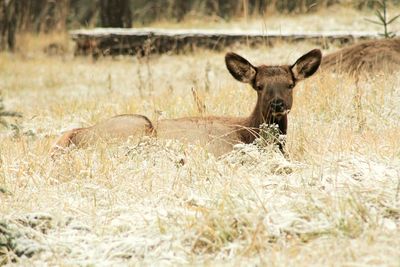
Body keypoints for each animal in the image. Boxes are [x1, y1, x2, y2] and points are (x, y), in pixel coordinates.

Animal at [53, 49, 322, 156]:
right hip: (136, 126)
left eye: (290, 84)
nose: (278, 104)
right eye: (259, 86)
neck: (249, 132)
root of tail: (73, 136)